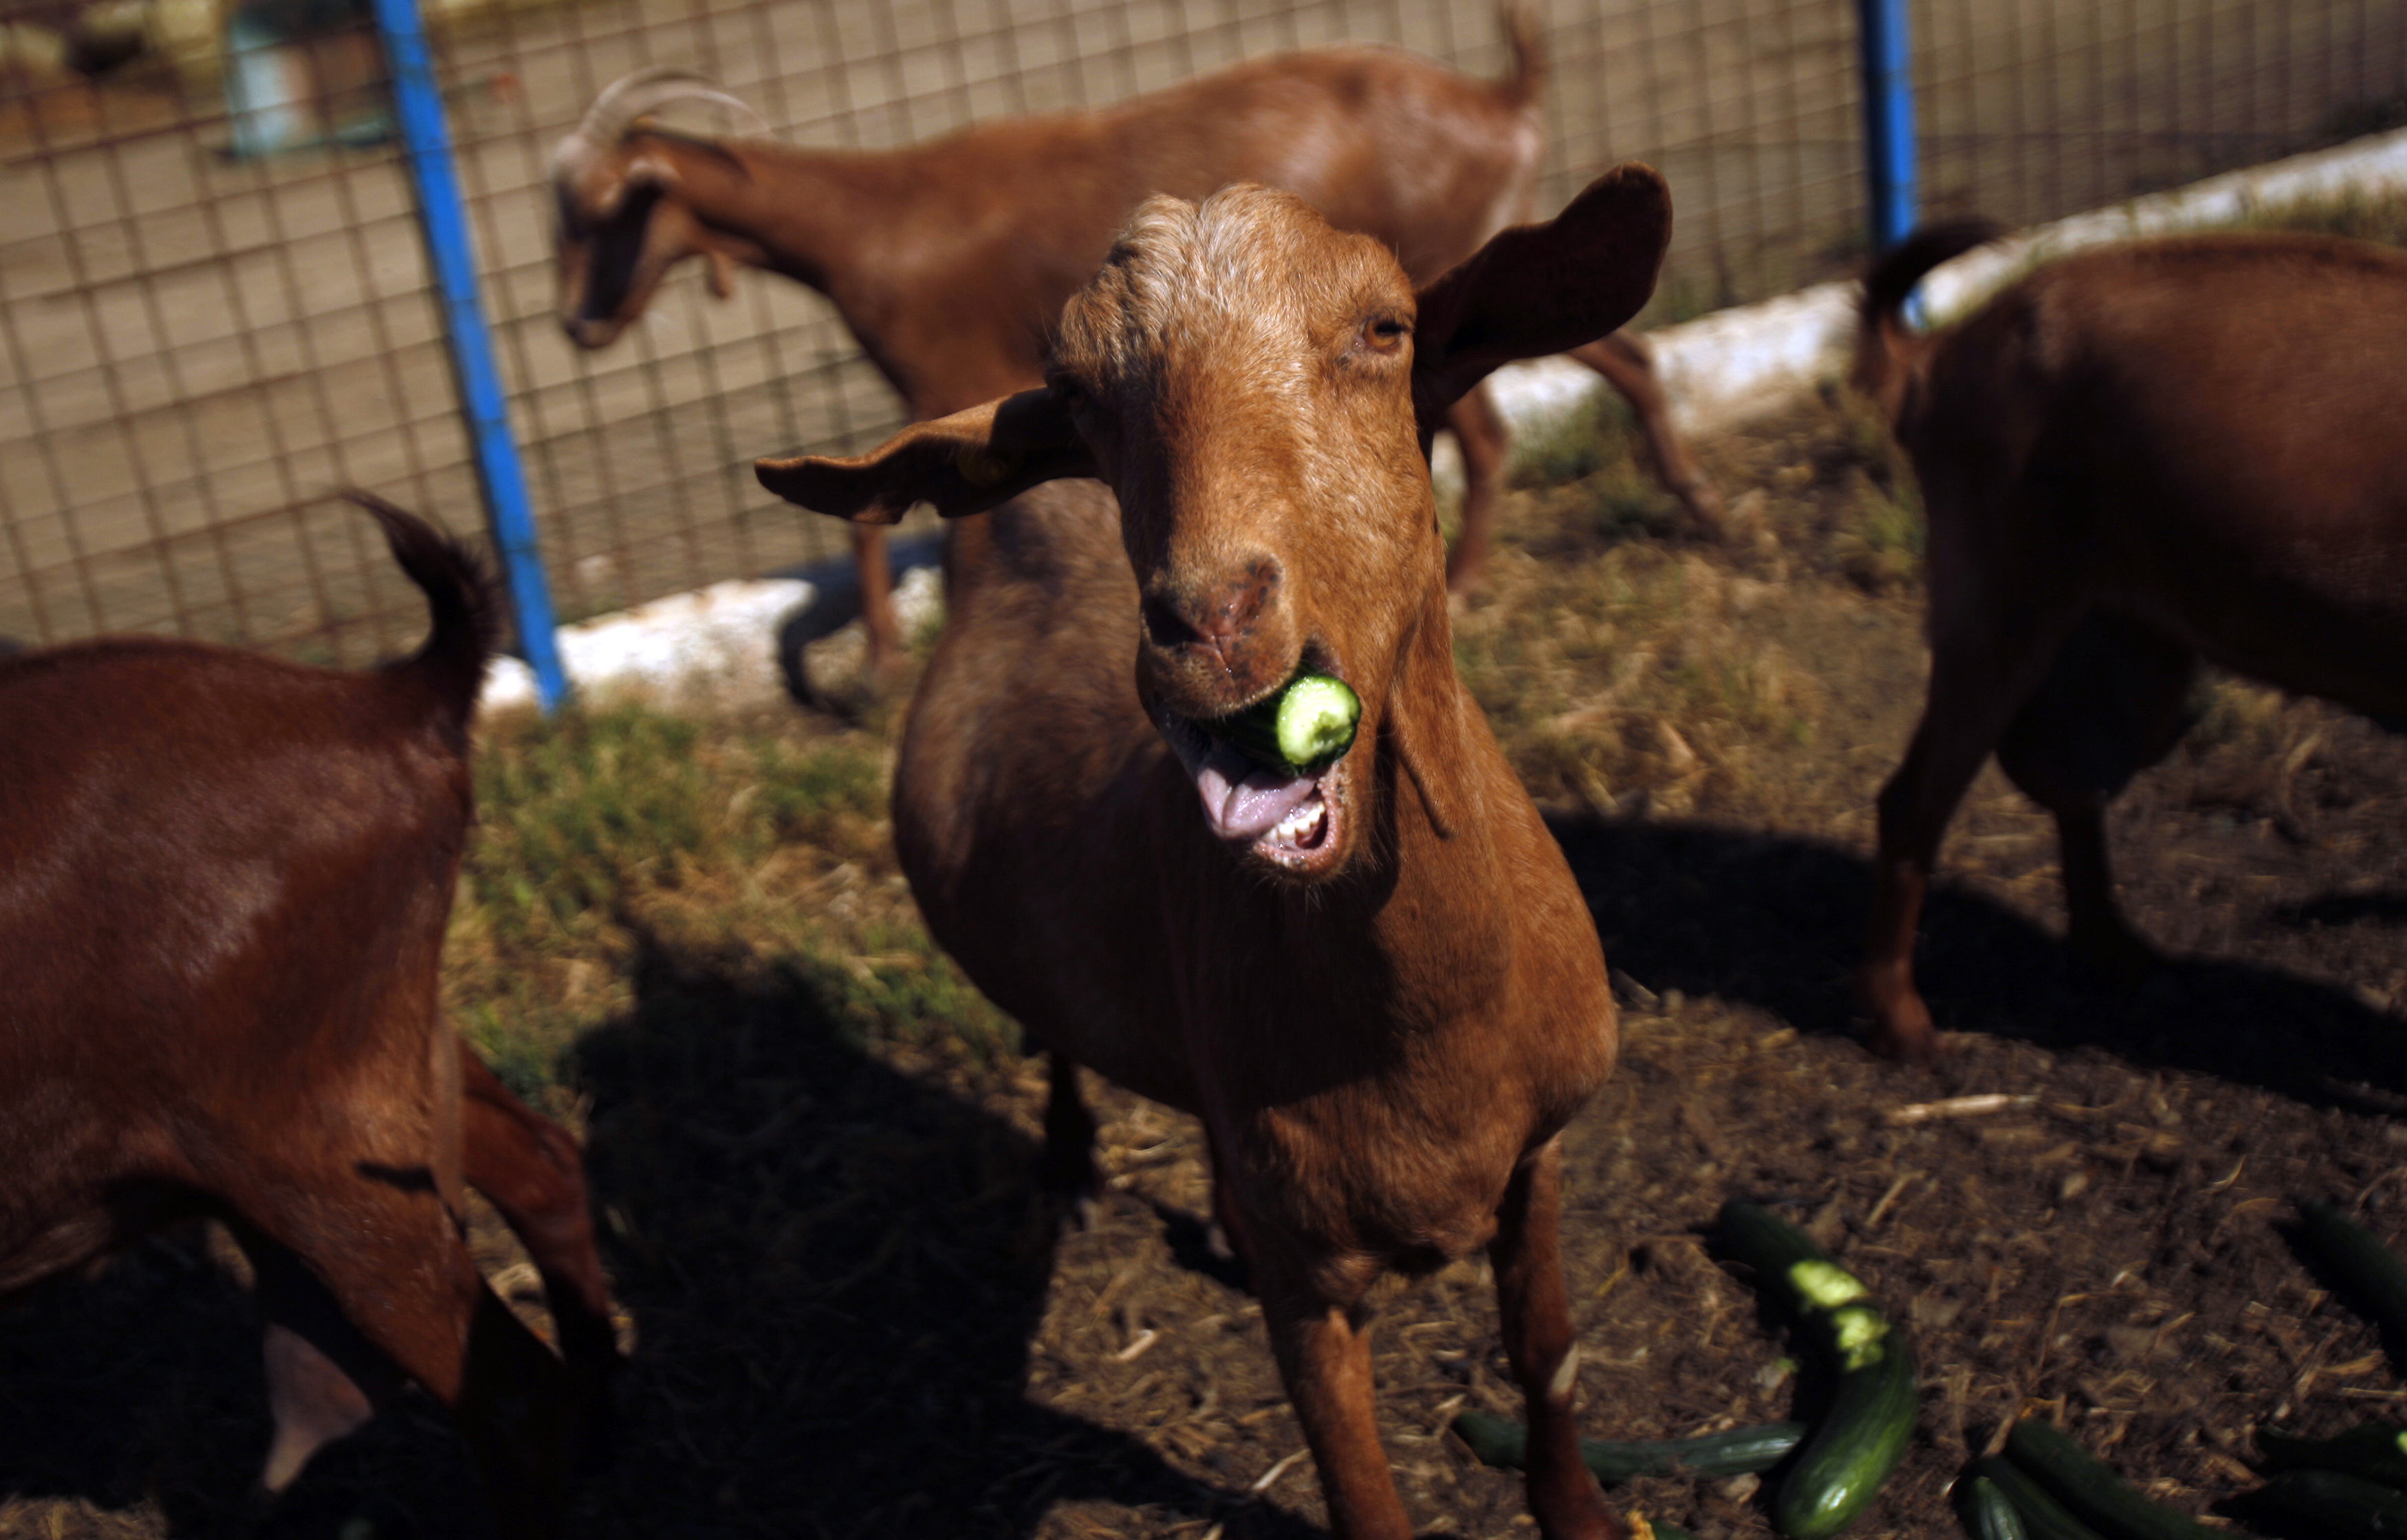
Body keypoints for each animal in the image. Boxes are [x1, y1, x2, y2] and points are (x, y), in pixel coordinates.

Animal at [549, 16, 1722, 677]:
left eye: (606, 214)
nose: (577, 324)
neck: (877, 222)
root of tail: (1500, 97)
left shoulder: (949, 371)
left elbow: (902, 533)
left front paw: (886, 668)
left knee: (1498, 427)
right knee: (1604, 365)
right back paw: (1692, 510)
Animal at [754, 165, 1672, 1539]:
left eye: (1386, 329)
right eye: (1081, 393)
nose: (1209, 624)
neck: (1426, 1030)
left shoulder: (1541, 1156)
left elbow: (1547, 1358)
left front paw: (1582, 1512)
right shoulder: (1309, 1282)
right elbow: (1359, 1488)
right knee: (1059, 1042)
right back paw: (1070, 1168)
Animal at [1850, 221, 2407, 1064]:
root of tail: (1937, 356)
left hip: (2131, 648)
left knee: (2068, 776)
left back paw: (2113, 950)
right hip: (1998, 614)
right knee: (1916, 801)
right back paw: (1900, 1020)